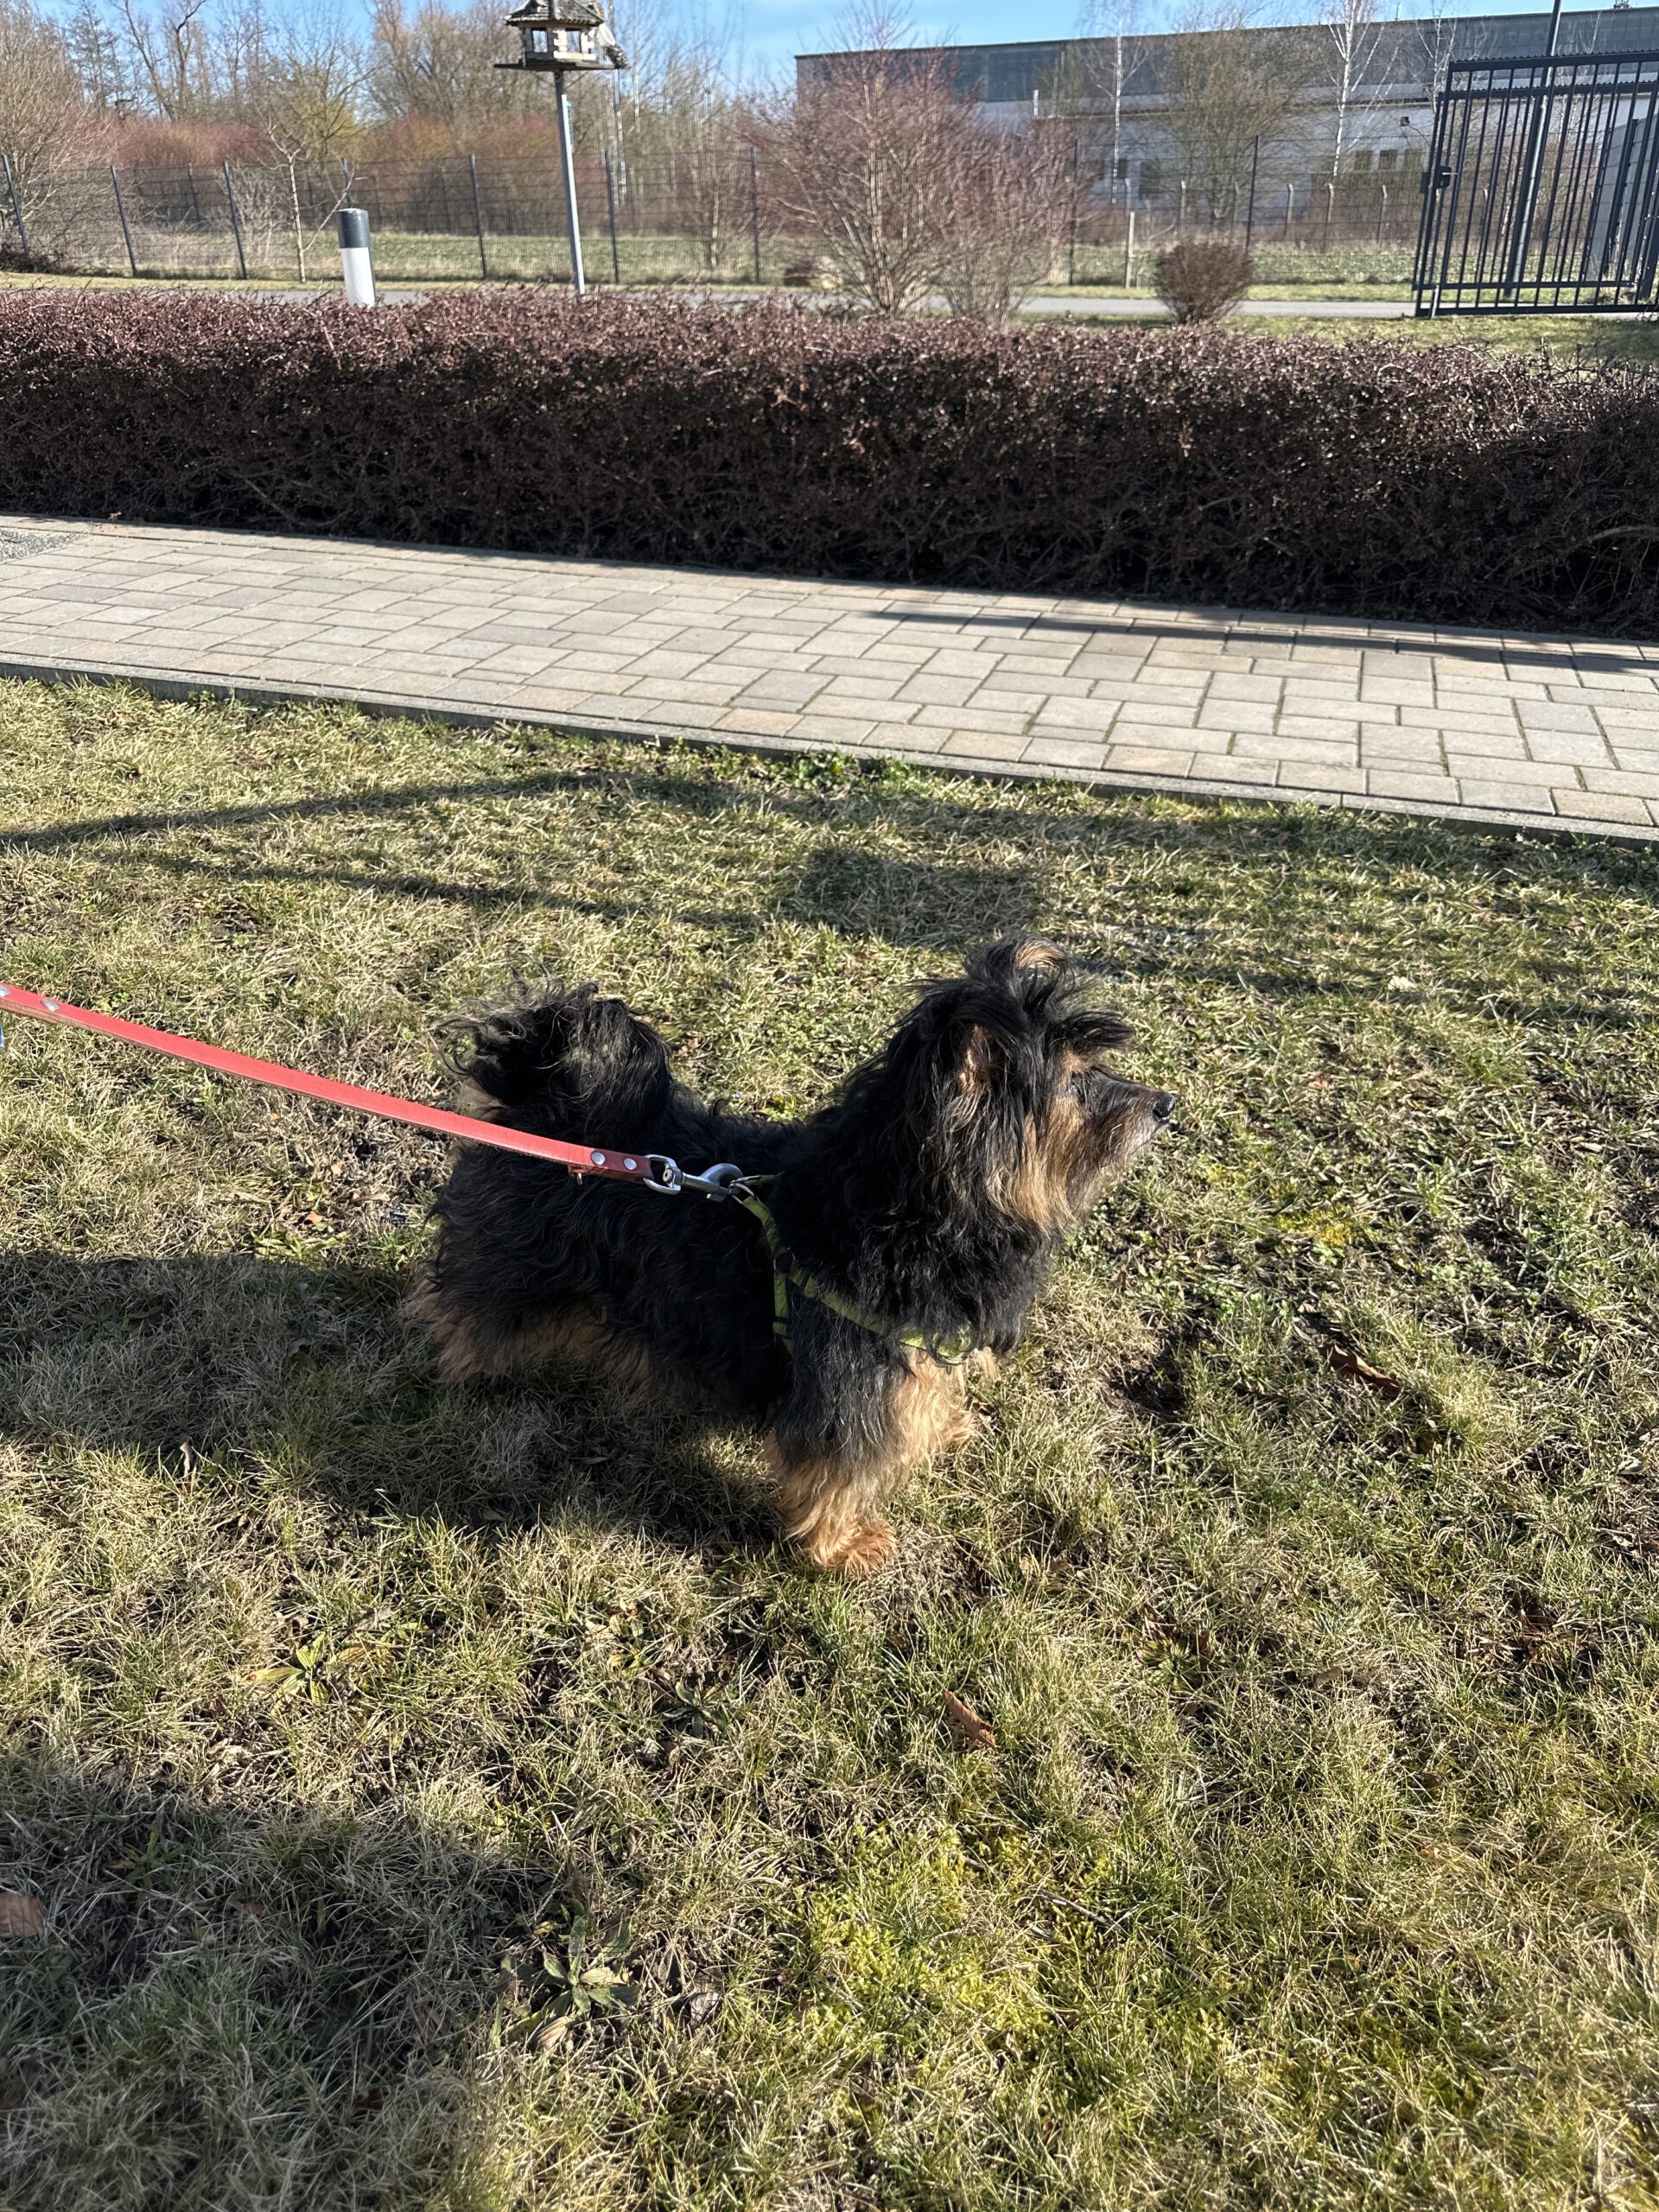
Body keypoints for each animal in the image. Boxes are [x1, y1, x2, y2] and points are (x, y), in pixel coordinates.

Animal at [413, 937, 1173, 1576]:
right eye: (1075, 1081)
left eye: (1096, 1066)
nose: (1164, 1103)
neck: (904, 1206)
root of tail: (536, 1095)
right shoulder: (844, 1379)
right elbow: (838, 1470)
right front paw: (842, 1546)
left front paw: (941, 1425)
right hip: (514, 1264)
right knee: (464, 1307)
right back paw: (466, 1372)